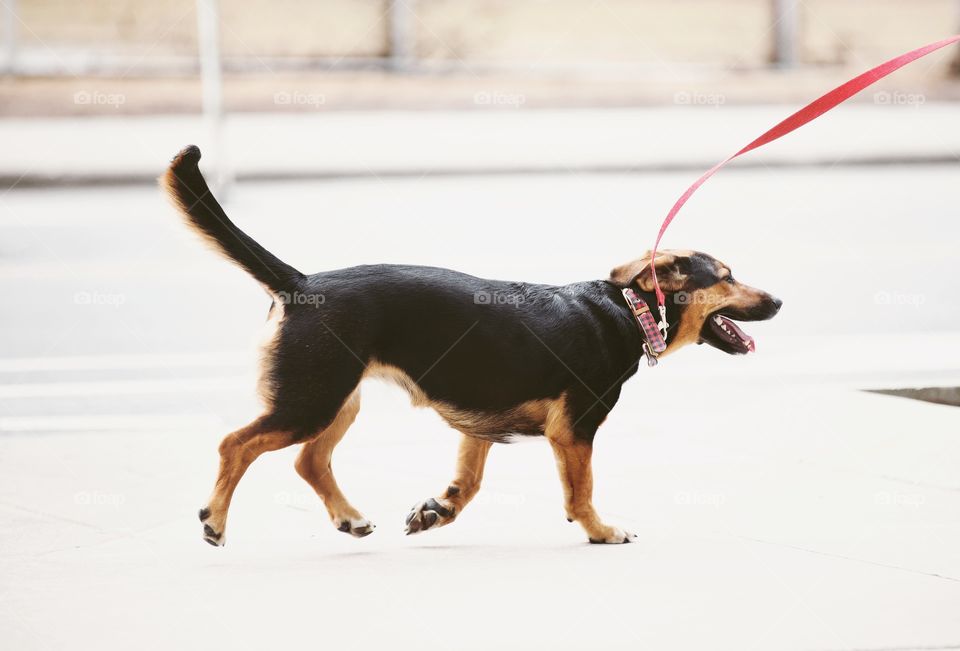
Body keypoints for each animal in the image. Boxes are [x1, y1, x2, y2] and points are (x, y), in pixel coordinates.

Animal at [163, 146, 780, 544]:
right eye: (726, 276)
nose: (778, 301)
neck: (629, 309)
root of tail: (301, 281)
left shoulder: (479, 422)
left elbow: (469, 483)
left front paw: (437, 511)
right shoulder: (574, 432)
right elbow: (579, 494)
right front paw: (602, 531)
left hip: (338, 396)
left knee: (309, 460)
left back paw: (349, 518)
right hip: (311, 399)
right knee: (235, 444)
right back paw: (215, 520)